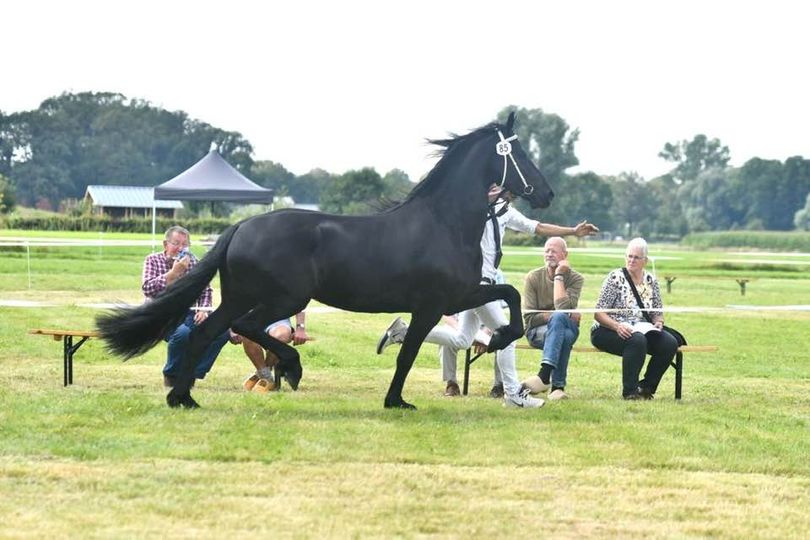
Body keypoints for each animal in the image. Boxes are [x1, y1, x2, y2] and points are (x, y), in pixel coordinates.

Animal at [96, 112, 554, 410]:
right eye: (521, 155)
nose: (547, 193)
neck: (445, 222)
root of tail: (240, 228)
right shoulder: (434, 304)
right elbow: (409, 352)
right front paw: (396, 401)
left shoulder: (458, 296)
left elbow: (510, 294)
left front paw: (498, 338)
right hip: (282, 299)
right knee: (243, 328)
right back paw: (288, 369)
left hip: (240, 296)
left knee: (206, 332)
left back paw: (183, 397)